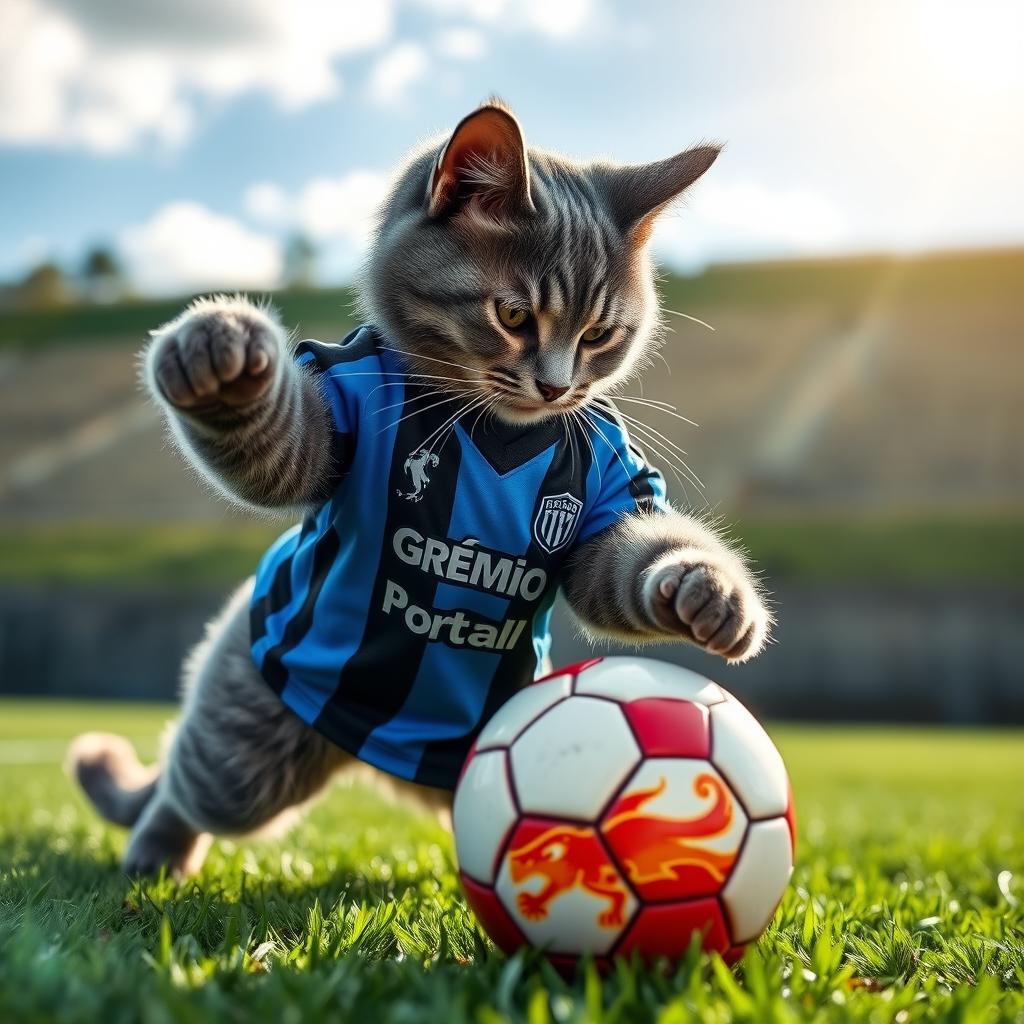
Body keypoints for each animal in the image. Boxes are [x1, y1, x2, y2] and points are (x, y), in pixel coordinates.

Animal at [70, 101, 770, 872]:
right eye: (514, 316)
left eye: (599, 335)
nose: (557, 387)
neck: (496, 429)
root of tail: (375, 755)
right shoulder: (344, 401)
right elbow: (277, 451)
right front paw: (220, 358)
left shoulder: (611, 474)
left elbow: (616, 564)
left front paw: (706, 588)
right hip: (250, 729)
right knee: (190, 786)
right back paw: (154, 852)